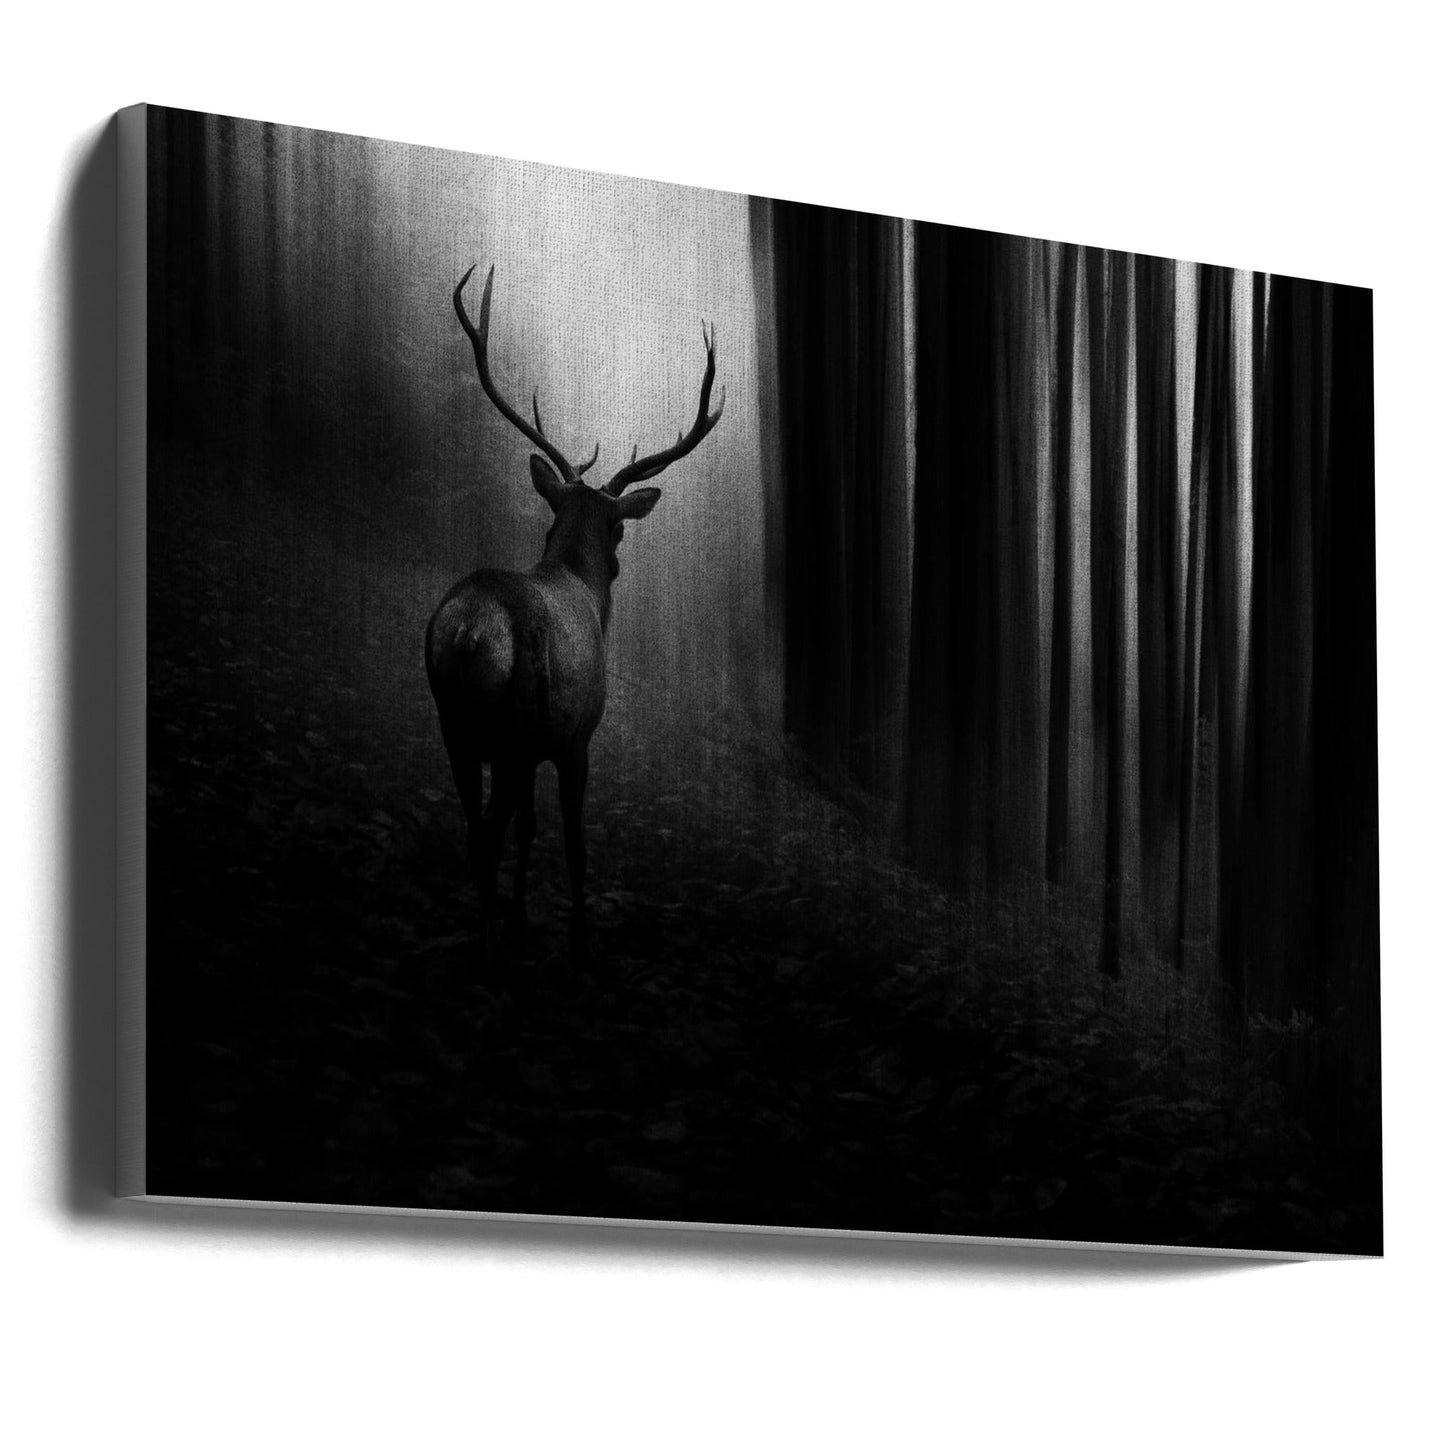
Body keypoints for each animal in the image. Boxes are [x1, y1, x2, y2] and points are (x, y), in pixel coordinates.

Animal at [425, 265, 724, 967]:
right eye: (619, 527)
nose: (617, 562)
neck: (581, 588)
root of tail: (470, 631)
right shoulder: (575, 738)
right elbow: (573, 841)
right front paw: (581, 934)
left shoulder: (540, 747)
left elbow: (532, 831)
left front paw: (522, 916)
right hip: (512, 727)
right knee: (487, 833)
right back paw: (490, 953)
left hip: (455, 724)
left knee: (476, 826)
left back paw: (492, 932)